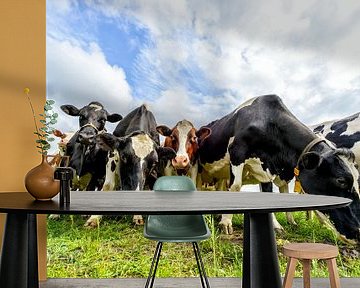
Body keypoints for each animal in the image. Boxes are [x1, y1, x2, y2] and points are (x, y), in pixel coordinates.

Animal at [198, 95, 360, 240]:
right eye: (341, 180)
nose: (358, 231)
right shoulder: (237, 152)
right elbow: (235, 186)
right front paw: (225, 223)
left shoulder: (267, 169)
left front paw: (279, 226)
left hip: (220, 175)